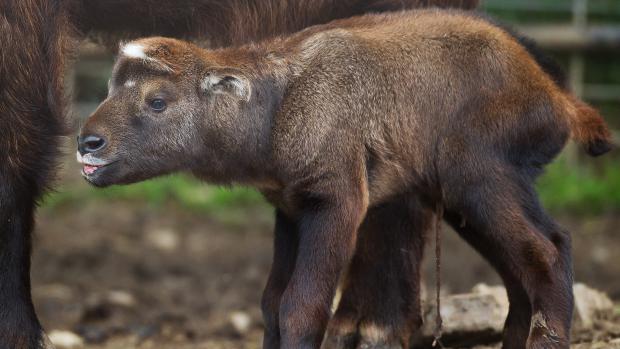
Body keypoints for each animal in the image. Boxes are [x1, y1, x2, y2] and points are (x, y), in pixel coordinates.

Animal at [76, 8, 612, 348]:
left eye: (157, 100)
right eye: (110, 87)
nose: (87, 142)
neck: (278, 108)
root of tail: (558, 99)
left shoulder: (337, 201)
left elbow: (302, 307)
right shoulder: (290, 208)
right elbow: (271, 303)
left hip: (478, 176)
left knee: (543, 254)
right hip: (471, 198)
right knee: (542, 253)